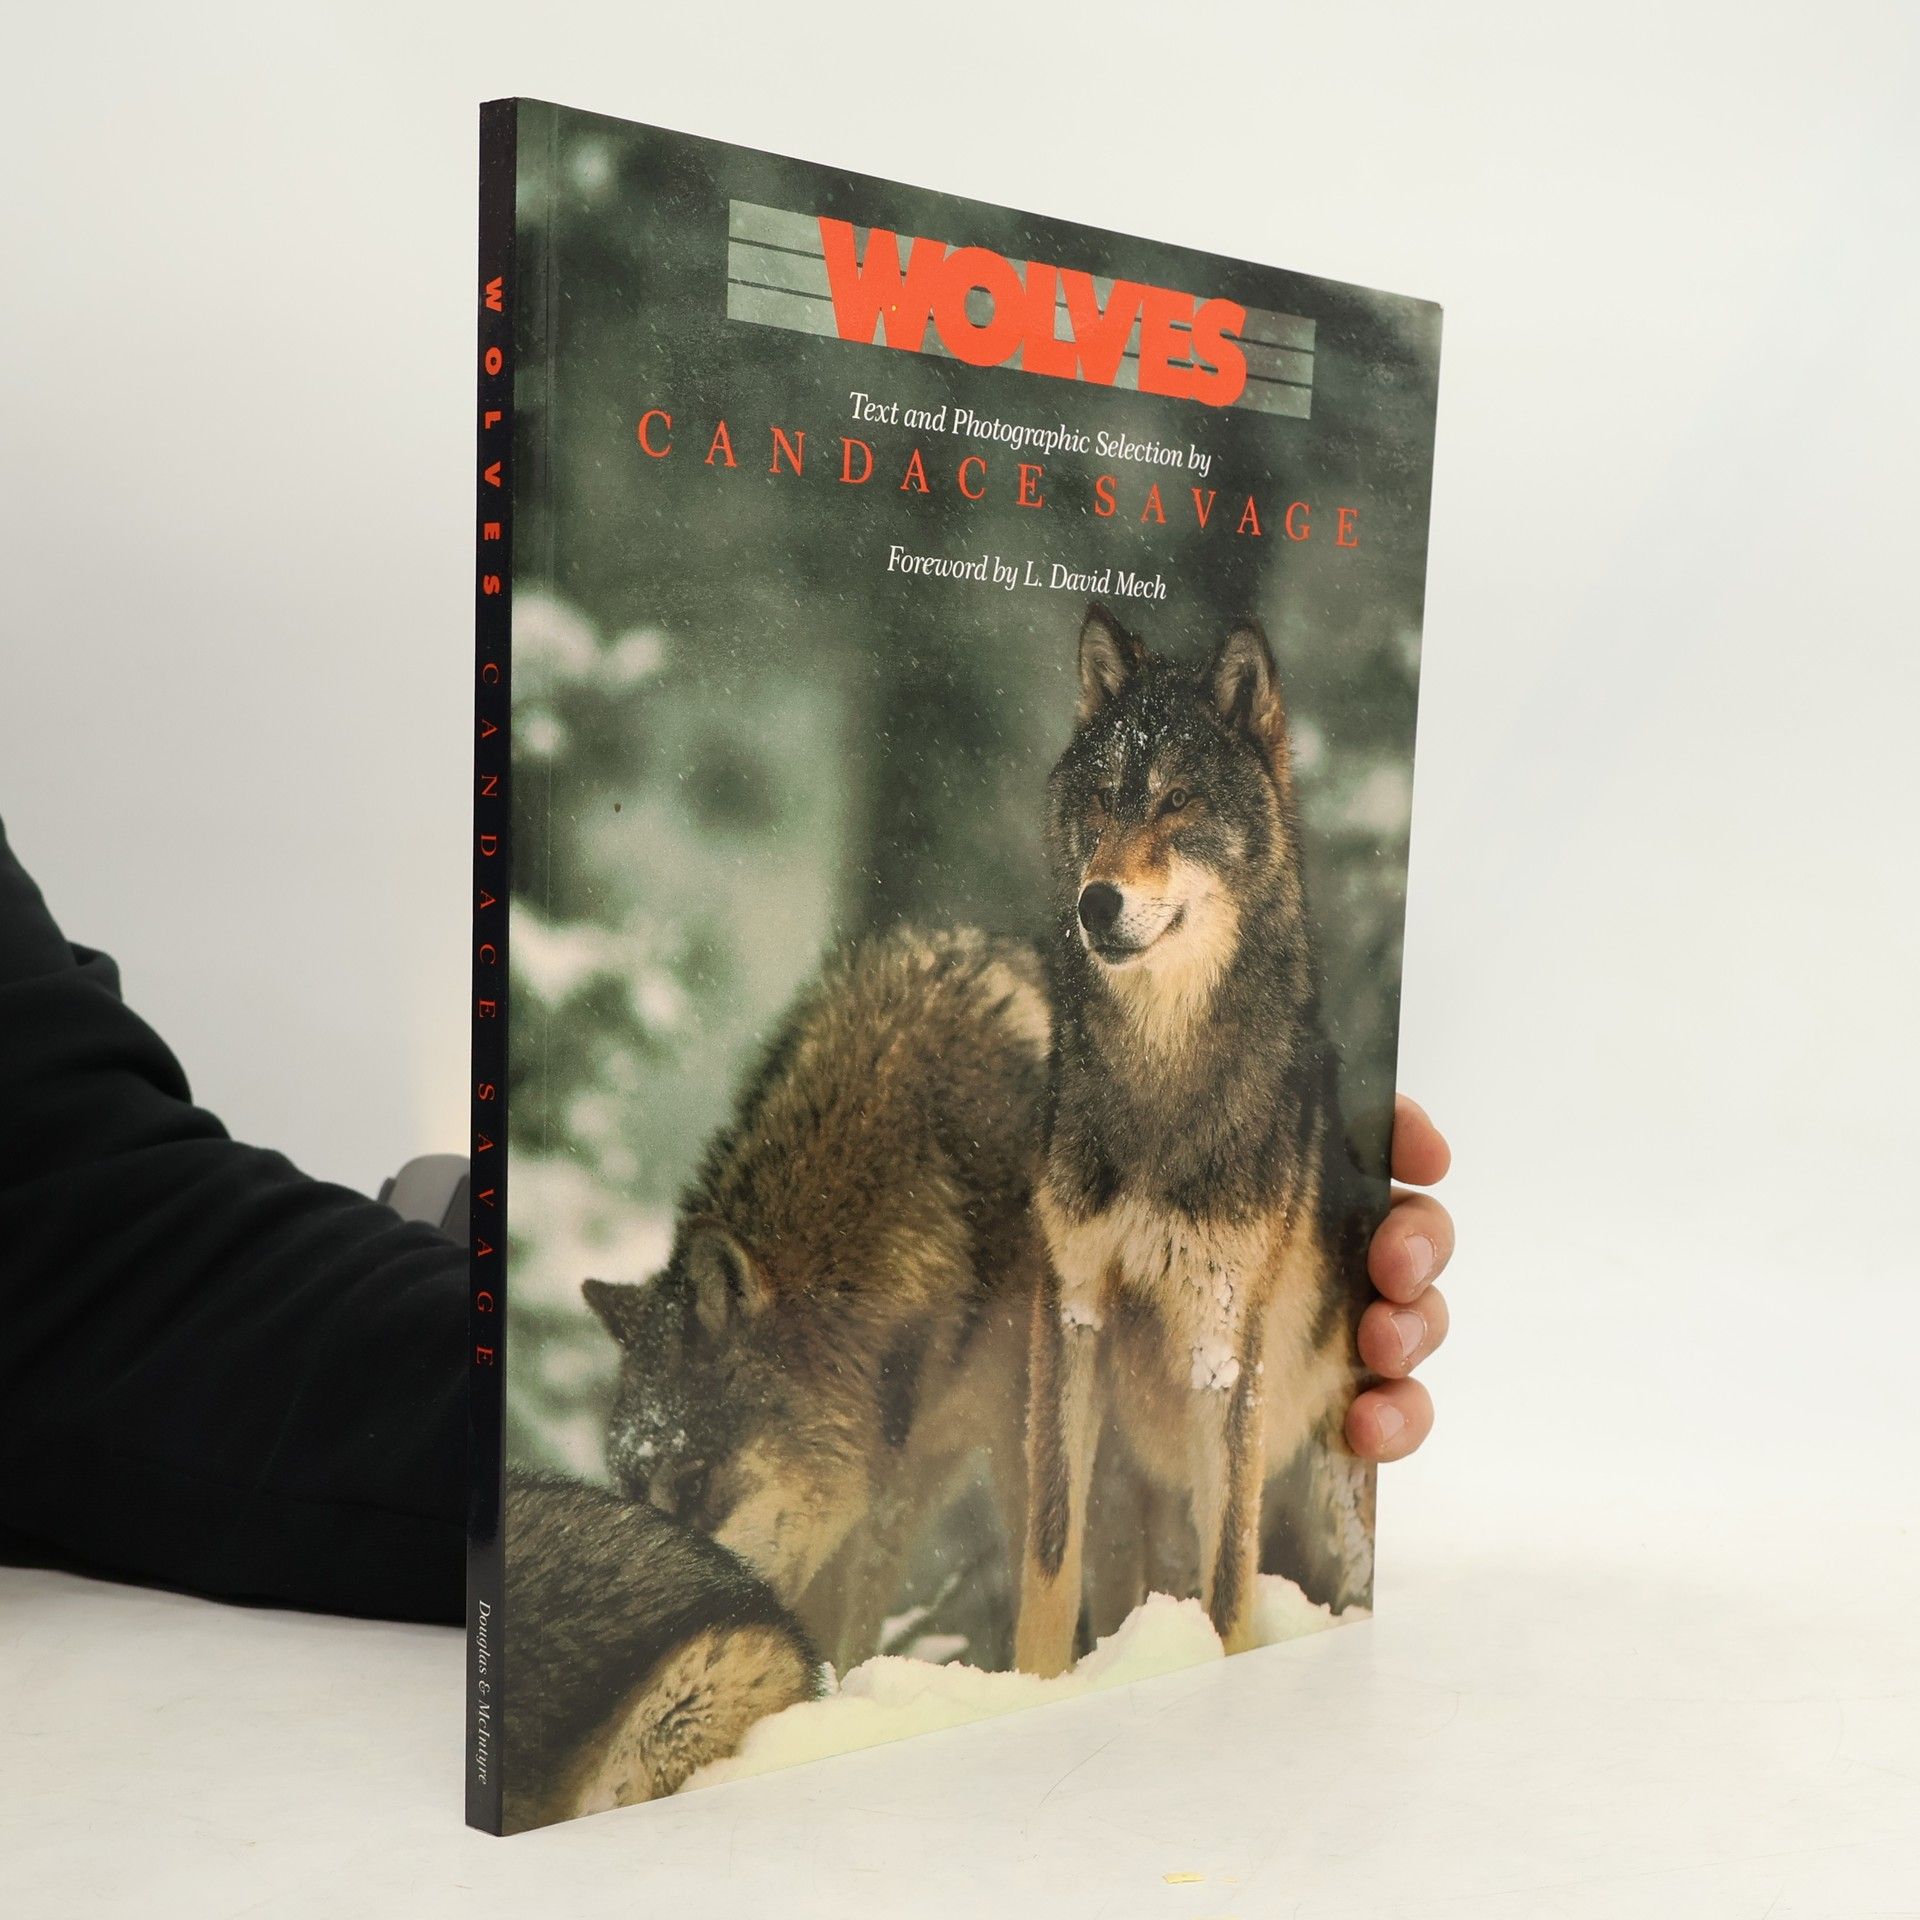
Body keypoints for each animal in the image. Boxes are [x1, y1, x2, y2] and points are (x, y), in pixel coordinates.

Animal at [1014, 605, 1378, 1675]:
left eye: (1177, 801)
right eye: (1105, 797)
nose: (1095, 902)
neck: (1160, 1086)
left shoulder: (1225, 1345)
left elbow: (1226, 1585)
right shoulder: (1073, 1308)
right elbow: (1048, 1556)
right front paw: (1023, 1691)